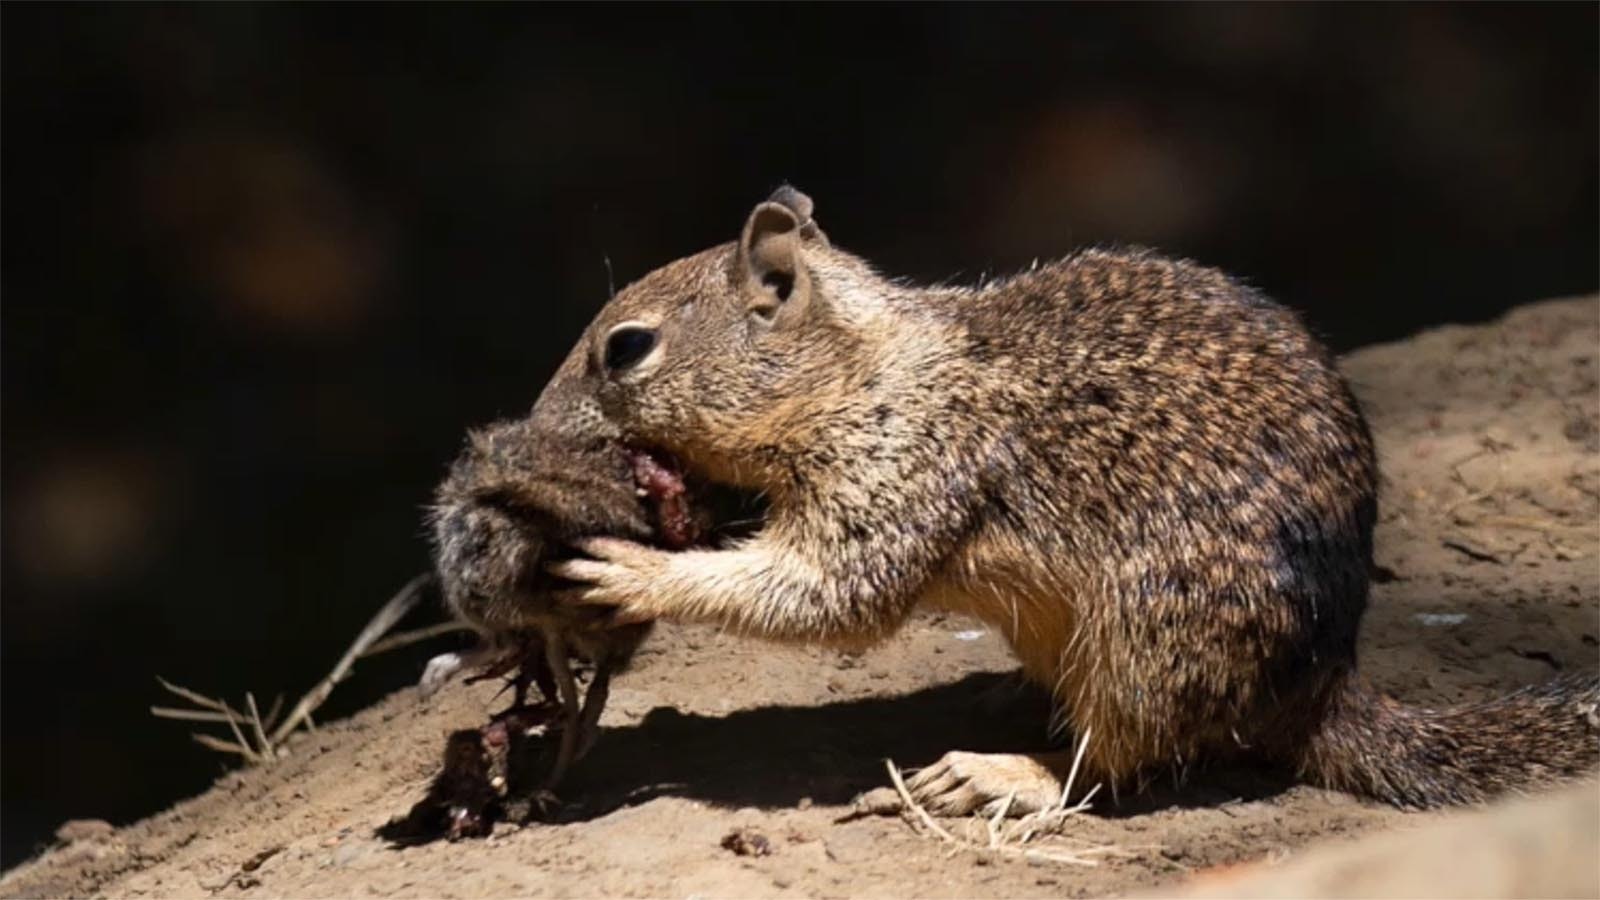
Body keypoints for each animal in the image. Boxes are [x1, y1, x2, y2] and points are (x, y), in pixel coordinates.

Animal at [528, 185, 1600, 810]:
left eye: (627, 348)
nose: (534, 422)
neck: (862, 371)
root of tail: (1322, 682)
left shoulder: (904, 467)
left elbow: (830, 591)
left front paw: (633, 571)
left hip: (1154, 638)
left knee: (1119, 758)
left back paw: (1001, 772)